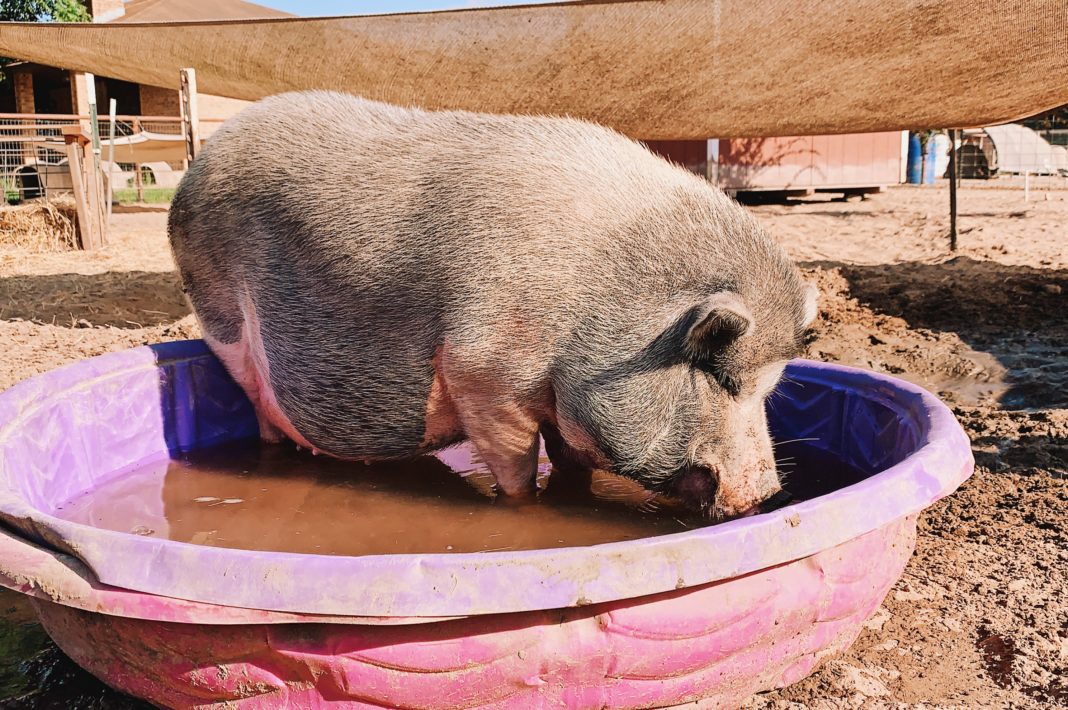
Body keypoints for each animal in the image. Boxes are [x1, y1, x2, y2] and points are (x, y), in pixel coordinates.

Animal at [168, 91, 818, 519]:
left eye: (771, 389)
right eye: (721, 377)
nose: (769, 494)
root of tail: (200, 161)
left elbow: (572, 461)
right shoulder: (482, 372)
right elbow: (517, 470)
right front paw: (524, 507)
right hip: (220, 315)